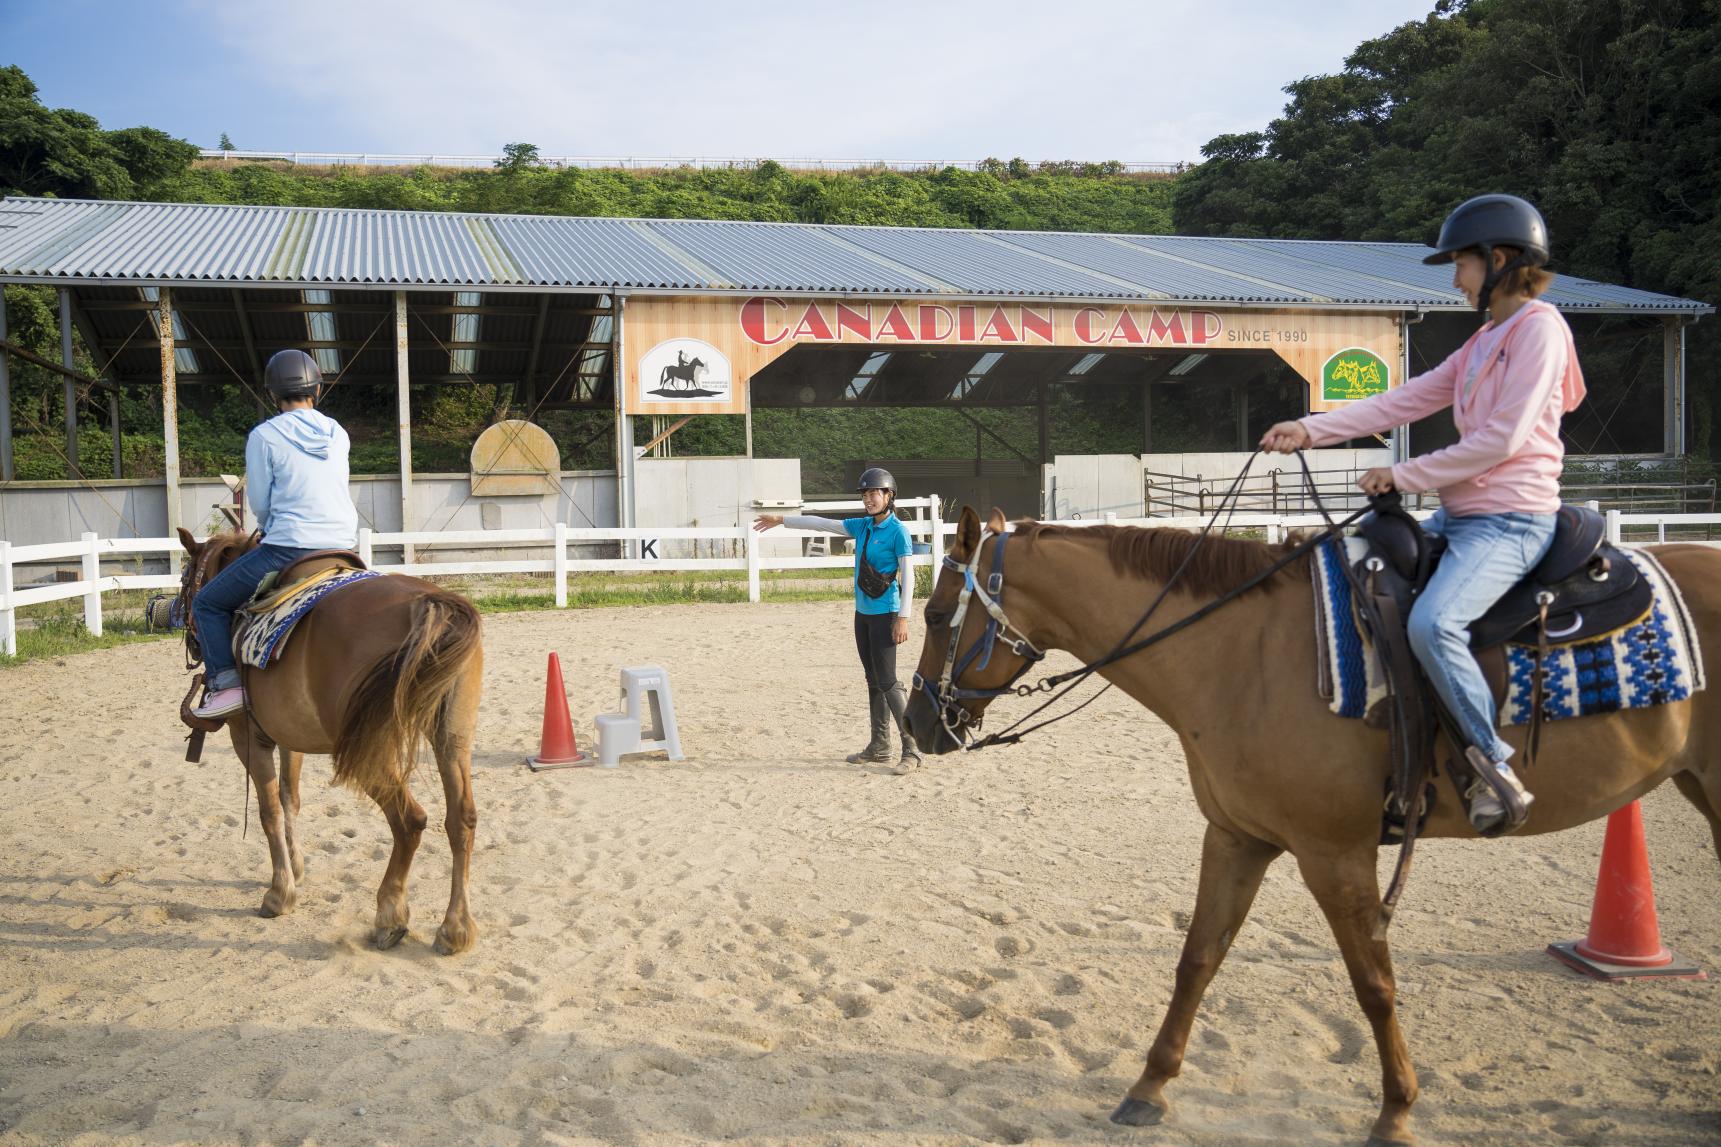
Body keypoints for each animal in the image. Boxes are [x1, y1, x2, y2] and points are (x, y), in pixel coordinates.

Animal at [177, 530, 485, 950]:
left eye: (185, 579)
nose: (189, 638)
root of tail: (429, 602)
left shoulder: (247, 738)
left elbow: (269, 810)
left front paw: (279, 893)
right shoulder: (289, 738)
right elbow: (290, 799)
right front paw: (296, 867)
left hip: (370, 749)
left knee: (409, 820)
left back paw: (390, 916)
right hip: (451, 738)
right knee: (460, 820)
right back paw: (455, 928)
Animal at [908, 506, 1714, 1143]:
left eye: (937, 614)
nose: (916, 722)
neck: (1242, 652)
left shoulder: (1334, 853)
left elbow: (1373, 983)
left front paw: (1395, 1112)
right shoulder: (1237, 837)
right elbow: (1197, 959)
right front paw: (1148, 1089)